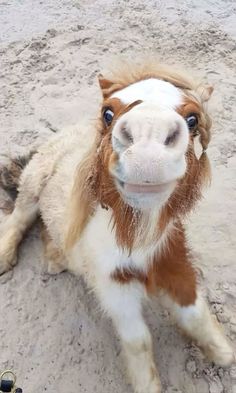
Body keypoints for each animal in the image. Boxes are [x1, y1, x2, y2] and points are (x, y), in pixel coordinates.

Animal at [0, 59, 234, 392]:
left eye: (192, 119)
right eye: (108, 113)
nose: (147, 154)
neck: (135, 236)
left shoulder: (173, 260)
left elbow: (194, 312)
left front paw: (222, 352)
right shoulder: (112, 283)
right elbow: (138, 339)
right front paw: (147, 384)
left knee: (50, 227)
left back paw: (57, 258)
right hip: (34, 184)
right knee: (20, 218)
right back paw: (6, 258)